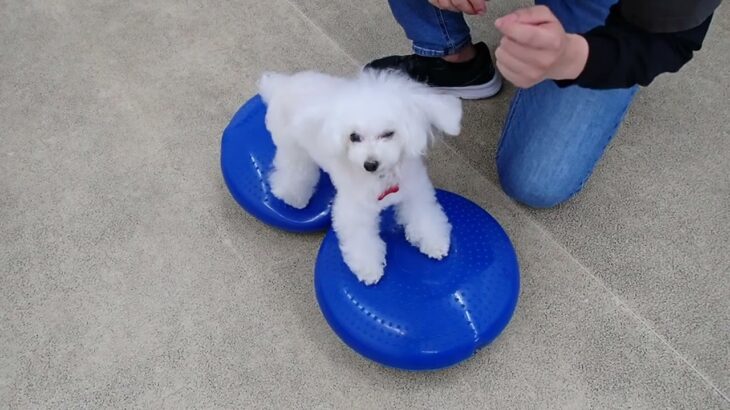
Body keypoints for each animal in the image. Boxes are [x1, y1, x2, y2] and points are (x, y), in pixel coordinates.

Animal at [258, 68, 458, 286]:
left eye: (388, 134)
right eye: (354, 136)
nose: (370, 164)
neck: (382, 178)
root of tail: (282, 85)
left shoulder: (415, 192)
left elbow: (424, 216)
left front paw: (435, 242)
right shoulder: (356, 211)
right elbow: (362, 240)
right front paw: (369, 269)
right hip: (294, 149)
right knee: (293, 173)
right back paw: (293, 197)